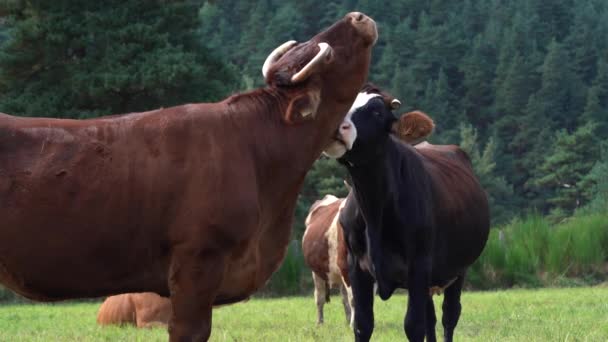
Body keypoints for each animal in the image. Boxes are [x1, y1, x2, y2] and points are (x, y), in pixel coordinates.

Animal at [324, 85, 490, 342]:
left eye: (376, 112)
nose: (335, 127)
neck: (374, 210)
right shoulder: (356, 268)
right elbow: (362, 325)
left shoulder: (418, 264)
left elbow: (413, 325)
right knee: (431, 317)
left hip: (458, 268)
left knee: (449, 316)